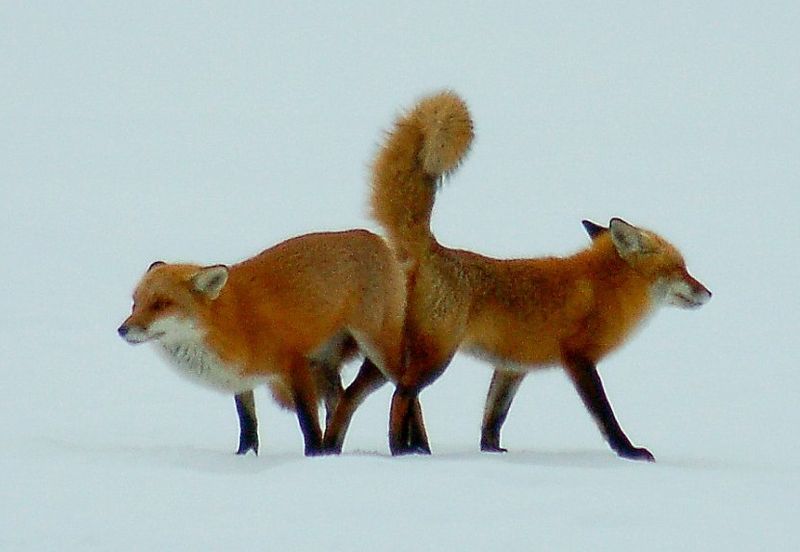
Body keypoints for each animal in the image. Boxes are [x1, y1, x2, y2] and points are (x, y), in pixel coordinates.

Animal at [326, 91, 712, 462]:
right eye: (681, 269)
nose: (708, 293)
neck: (604, 289)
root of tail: (430, 248)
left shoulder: (512, 367)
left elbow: (493, 417)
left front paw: (491, 451)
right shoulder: (579, 360)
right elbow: (605, 416)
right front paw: (629, 452)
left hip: (388, 355)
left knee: (350, 397)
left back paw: (335, 449)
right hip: (433, 356)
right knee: (401, 395)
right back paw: (402, 452)